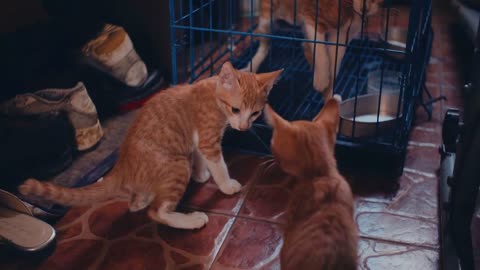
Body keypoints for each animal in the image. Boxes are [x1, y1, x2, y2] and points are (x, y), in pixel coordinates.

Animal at [20, 61, 284, 230]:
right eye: (236, 109)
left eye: (255, 113)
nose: (243, 127)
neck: (213, 92)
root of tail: (122, 166)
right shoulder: (208, 138)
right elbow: (218, 163)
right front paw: (226, 184)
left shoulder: (197, 138)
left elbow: (198, 154)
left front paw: (200, 173)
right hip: (176, 166)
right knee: (157, 212)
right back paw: (190, 220)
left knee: (136, 205)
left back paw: (141, 199)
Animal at [246, 0, 380, 99]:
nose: (365, 9)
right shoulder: (312, 18)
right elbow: (321, 52)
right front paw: (321, 81)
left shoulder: (342, 35)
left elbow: (333, 62)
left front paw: (329, 95)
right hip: (266, 18)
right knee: (265, 44)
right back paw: (250, 68)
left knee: (305, 45)